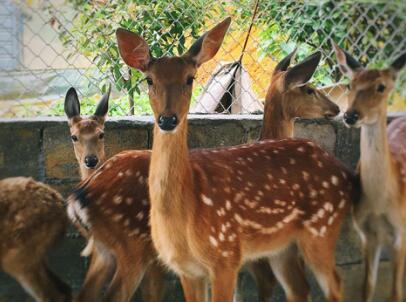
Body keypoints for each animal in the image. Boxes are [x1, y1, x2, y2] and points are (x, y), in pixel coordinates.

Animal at [116, 18, 360, 302]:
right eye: (149, 79)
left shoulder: (226, 255)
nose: (167, 119)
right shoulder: (186, 268)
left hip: (321, 228)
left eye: (190, 78)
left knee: (335, 284)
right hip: (283, 245)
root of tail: (346, 172)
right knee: (299, 288)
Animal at [334, 43, 406, 302]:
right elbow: (367, 286)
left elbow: (396, 292)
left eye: (381, 87)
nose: (350, 115)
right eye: (349, 84)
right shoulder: (366, 234)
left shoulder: (400, 231)